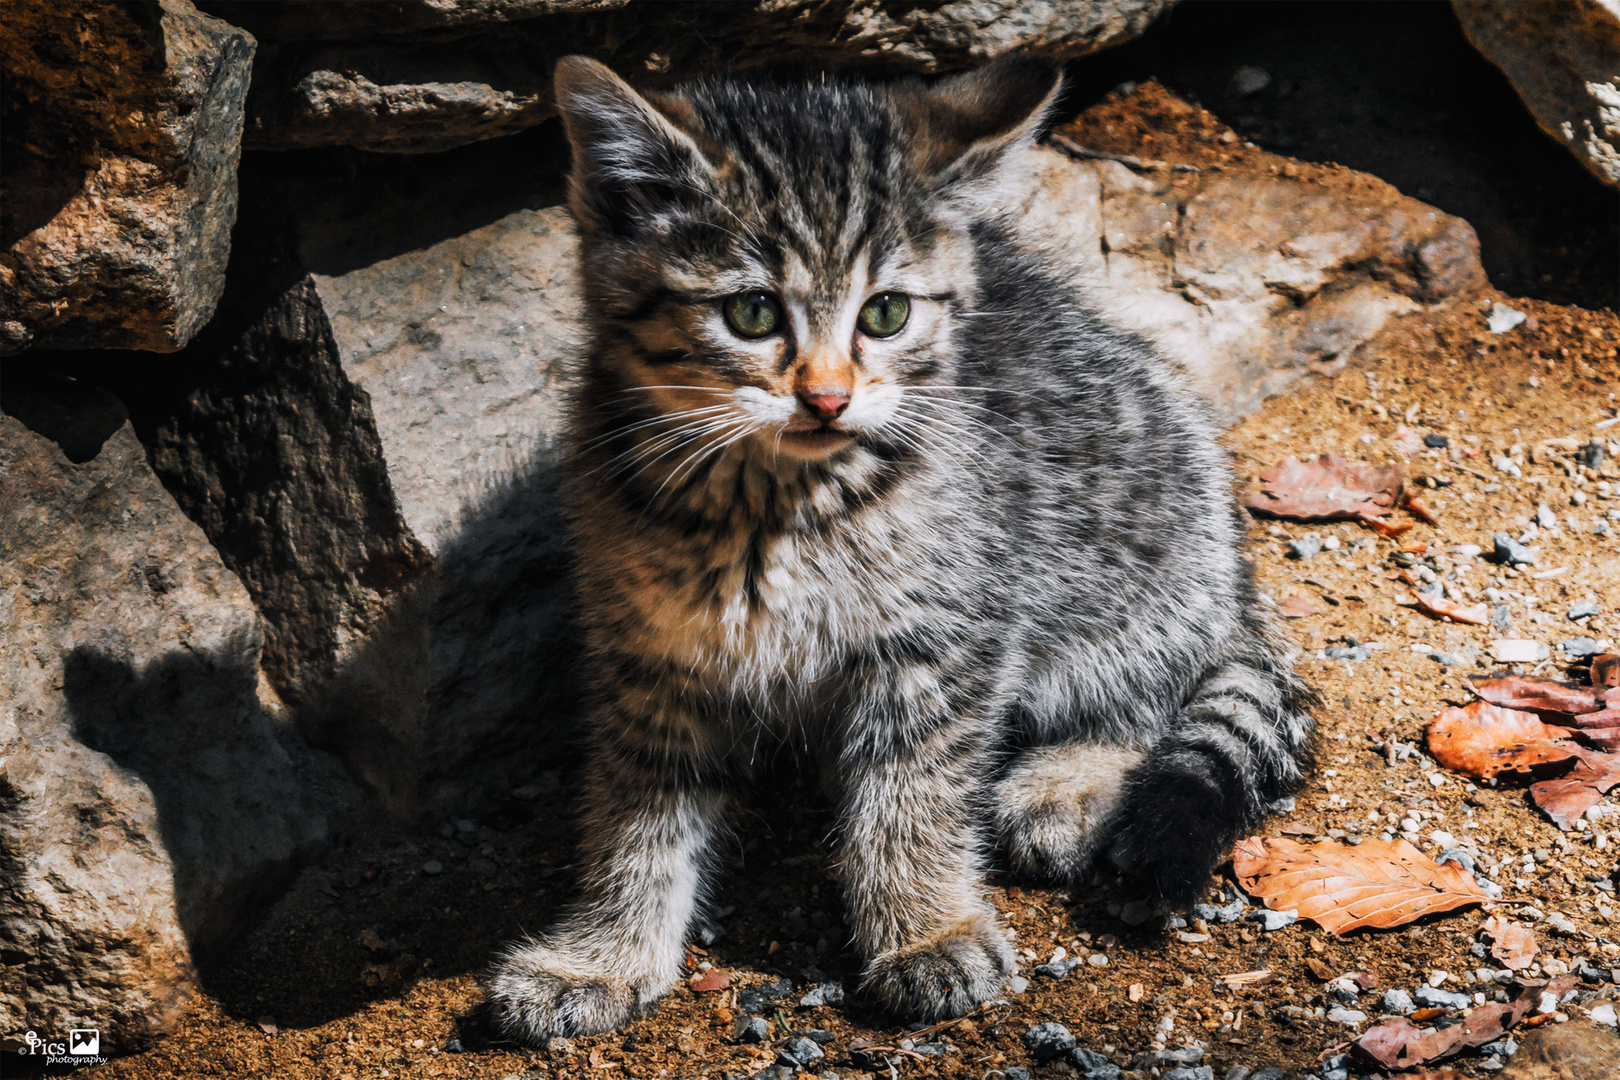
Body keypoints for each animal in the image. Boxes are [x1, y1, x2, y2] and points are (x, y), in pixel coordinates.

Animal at [482, 52, 1315, 1049]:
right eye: (751, 312)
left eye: (884, 314)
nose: (828, 397)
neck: (772, 508)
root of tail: (1236, 572)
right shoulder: (647, 657)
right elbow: (631, 816)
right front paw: (602, 954)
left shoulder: (950, 637)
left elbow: (913, 793)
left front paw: (928, 930)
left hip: (1145, 551)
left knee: (1159, 684)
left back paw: (1068, 780)